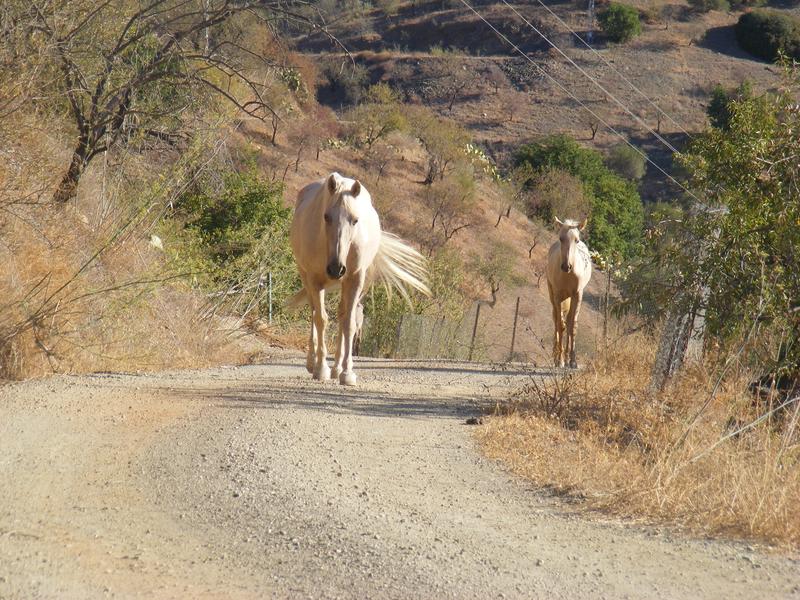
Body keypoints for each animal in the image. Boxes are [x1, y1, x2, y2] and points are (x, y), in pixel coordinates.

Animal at [289, 172, 430, 385]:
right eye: (326, 217)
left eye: (355, 220)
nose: (336, 268)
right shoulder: (315, 280)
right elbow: (321, 319)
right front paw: (321, 369)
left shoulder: (355, 279)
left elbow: (350, 323)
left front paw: (347, 373)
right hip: (306, 276)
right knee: (314, 313)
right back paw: (313, 363)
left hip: (351, 283)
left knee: (342, 316)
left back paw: (337, 368)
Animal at [545, 217, 592, 369]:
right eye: (561, 238)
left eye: (576, 240)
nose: (567, 266)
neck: (568, 275)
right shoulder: (557, 296)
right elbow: (560, 325)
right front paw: (559, 360)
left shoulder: (577, 295)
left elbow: (572, 326)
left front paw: (572, 361)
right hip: (552, 295)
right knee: (557, 321)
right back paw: (557, 356)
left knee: (569, 321)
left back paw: (566, 358)